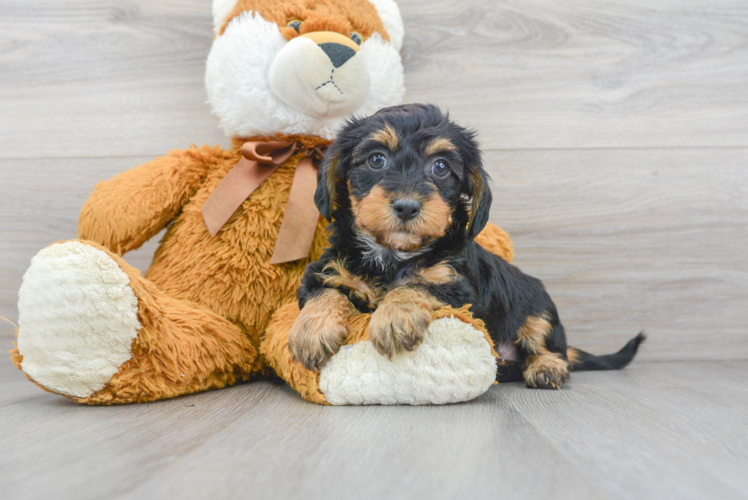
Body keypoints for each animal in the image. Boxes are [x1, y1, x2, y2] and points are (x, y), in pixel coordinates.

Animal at [286, 103, 644, 388]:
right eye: (377, 159)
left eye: (441, 167)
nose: (407, 206)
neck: (393, 255)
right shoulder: (325, 271)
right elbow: (326, 293)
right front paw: (311, 330)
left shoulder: (457, 287)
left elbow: (414, 286)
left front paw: (394, 317)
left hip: (538, 309)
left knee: (551, 345)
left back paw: (547, 367)